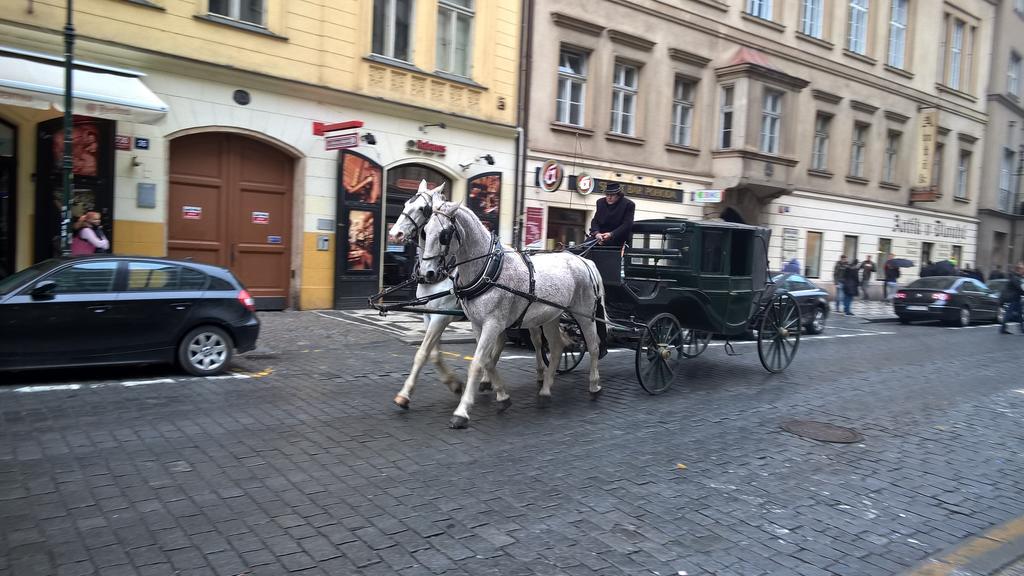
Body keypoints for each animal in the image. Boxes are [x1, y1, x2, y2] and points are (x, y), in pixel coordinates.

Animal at [417, 191, 606, 426]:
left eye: (444, 235)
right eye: (424, 231)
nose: (427, 273)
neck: (487, 269)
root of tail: (583, 260)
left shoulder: (493, 324)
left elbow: (477, 363)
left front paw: (461, 412)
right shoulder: (478, 324)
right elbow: (488, 360)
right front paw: (502, 395)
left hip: (584, 313)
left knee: (593, 345)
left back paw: (594, 385)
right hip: (551, 317)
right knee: (556, 347)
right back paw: (545, 391)